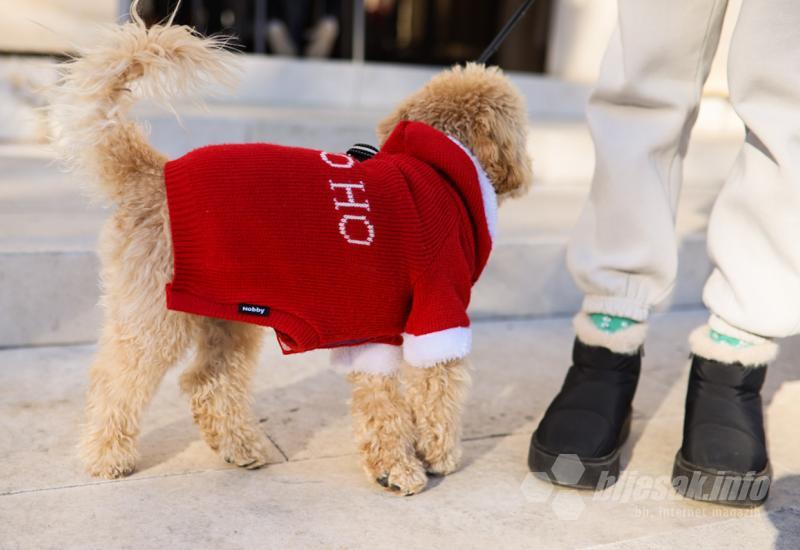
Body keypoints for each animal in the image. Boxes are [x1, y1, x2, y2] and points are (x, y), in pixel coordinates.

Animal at [51, 3, 532, 496]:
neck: (439, 168)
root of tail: (153, 174)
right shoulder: (437, 307)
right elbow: (437, 392)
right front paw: (433, 458)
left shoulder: (377, 323)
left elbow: (381, 401)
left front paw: (393, 465)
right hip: (156, 312)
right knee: (116, 381)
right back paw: (106, 457)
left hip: (226, 314)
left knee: (207, 380)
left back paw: (240, 447)